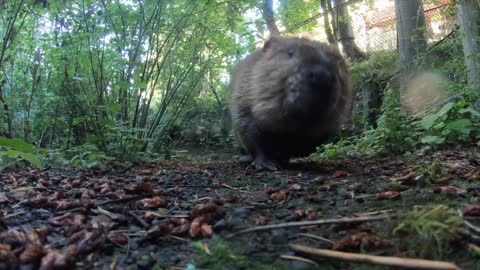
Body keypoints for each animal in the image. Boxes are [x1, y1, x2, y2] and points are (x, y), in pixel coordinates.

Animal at [229, 35, 352, 171]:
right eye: (290, 52)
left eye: (339, 63)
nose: (322, 76)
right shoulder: (243, 95)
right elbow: (251, 133)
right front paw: (267, 164)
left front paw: (283, 159)